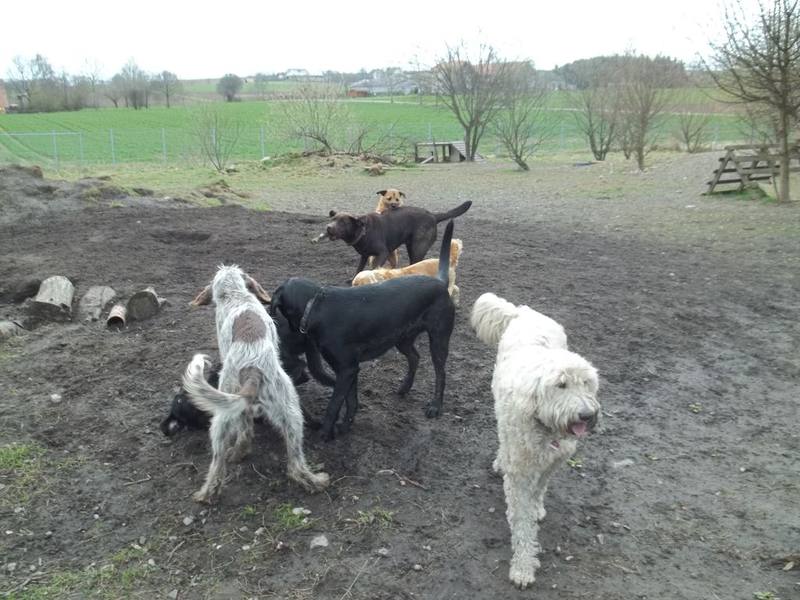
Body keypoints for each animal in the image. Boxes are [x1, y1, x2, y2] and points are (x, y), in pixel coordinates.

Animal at [182, 265, 329, 503]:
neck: (236, 296)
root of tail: (253, 369)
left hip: (223, 414)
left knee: (227, 453)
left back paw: (208, 491)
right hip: (291, 413)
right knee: (295, 465)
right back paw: (316, 482)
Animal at [270, 221, 458, 441]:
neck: (315, 304)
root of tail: (440, 282)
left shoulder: (346, 369)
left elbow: (334, 404)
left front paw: (325, 433)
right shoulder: (350, 369)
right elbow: (351, 400)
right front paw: (345, 426)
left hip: (439, 339)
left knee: (440, 373)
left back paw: (435, 407)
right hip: (402, 339)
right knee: (415, 357)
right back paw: (404, 388)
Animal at [322, 200, 471, 278]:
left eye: (343, 222)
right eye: (332, 219)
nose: (328, 228)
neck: (363, 231)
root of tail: (433, 216)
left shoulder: (382, 253)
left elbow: (375, 267)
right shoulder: (364, 255)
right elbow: (359, 268)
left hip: (418, 248)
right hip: (411, 247)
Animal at [470, 293, 600, 589]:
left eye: (586, 383)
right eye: (561, 385)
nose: (587, 415)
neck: (545, 426)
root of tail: (523, 312)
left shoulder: (554, 461)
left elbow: (540, 488)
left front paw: (538, 506)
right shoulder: (520, 473)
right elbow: (521, 521)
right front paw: (522, 568)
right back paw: (500, 461)